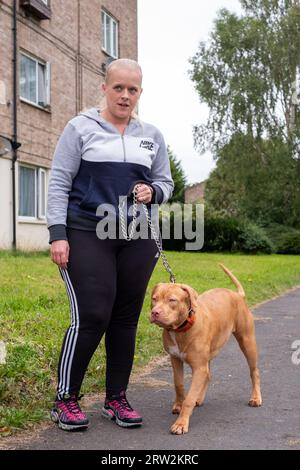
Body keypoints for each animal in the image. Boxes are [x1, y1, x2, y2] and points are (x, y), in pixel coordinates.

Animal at [150, 262, 262, 436]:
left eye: (172, 300)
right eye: (154, 299)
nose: (154, 312)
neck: (181, 330)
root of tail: (237, 294)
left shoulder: (199, 367)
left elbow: (189, 398)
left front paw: (181, 423)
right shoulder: (175, 360)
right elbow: (178, 384)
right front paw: (178, 405)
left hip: (247, 342)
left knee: (254, 371)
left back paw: (256, 398)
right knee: (208, 375)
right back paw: (199, 398)